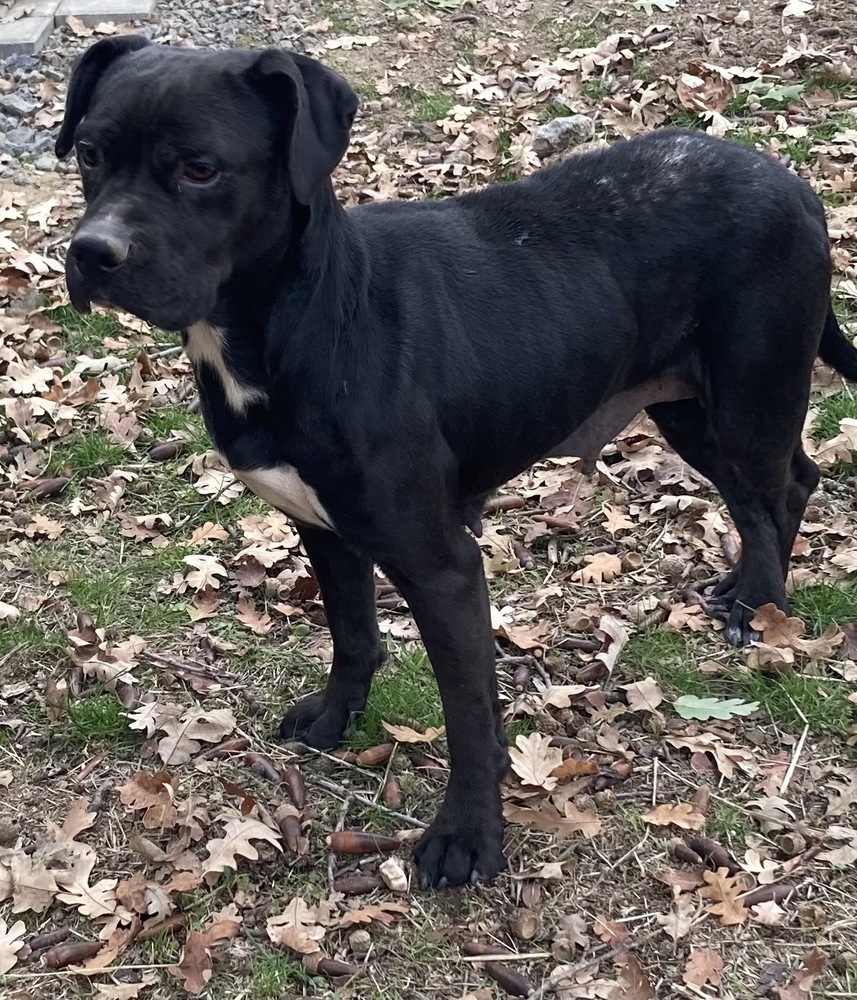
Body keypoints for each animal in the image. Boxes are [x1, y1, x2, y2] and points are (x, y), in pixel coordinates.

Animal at [56, 35, 852, 888]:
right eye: (92, 154)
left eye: (200, 168)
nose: (91, 253)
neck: (305, 316)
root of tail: (793, 185)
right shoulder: (325, 531)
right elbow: (353, 634)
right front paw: (336, 718)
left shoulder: (443, 568)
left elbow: (469, 716)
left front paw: (468, 837)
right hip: (685, 409)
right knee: (767, 491)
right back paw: (746, 591)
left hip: (747, 400)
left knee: (783, 486)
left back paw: (762, 608)